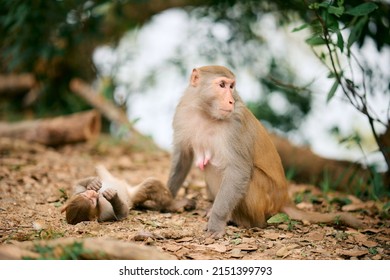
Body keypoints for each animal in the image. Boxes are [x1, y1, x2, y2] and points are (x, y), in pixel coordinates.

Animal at [62, 165, 195, 224]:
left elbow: (77, 186)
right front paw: (112, 197)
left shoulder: (77, 193)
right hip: (133, 194)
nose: (93, 193)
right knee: (151, 185)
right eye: (92, 200)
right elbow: (122, 214)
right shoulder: (104, 212)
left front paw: (92, 183)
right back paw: (176, 204)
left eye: (89, 195)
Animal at [167, 65, 362, 238]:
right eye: (222, 85)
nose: (231, 101)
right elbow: (183, 158)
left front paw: (216, 223)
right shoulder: (182, 113)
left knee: (232, 173)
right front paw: (168, 199)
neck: (206, 113)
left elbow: (238, 171)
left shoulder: (235, 127)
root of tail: (284, 198)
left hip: (267, 200)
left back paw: (241, 220)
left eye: (231, 86)